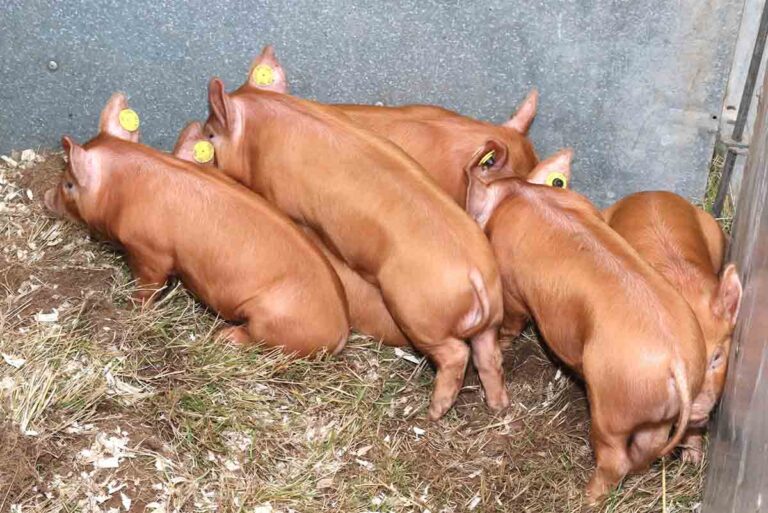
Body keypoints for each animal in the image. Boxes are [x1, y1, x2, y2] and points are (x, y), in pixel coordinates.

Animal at [45, 93, 349, 357]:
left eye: (68, 183)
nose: (46, 197)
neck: (123, 189)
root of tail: (341, 334)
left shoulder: (151, 251)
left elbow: (149, 285)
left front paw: (131, 304)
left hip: (272, 320)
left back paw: (224, 337)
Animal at [199, 78, 509, 420]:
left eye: (211, 133)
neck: (265, 128)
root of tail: (475, 274)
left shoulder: (287, 200)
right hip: (489, 323)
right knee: (489, 357)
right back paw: (498, 406)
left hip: (420, 315)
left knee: (456, 354)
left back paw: (434, 411)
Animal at [465, 148, 707, 503]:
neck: (517, 192)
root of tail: (676, 360)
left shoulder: (511, 289)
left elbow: (512, 320)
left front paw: (505, 343)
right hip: (656, 413)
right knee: (647, 447)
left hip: (612, 406)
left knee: (615, 459)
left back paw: (586, 497)